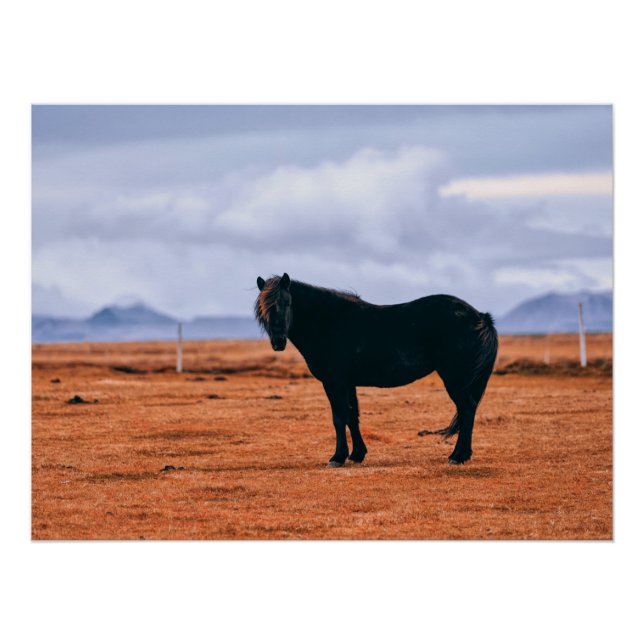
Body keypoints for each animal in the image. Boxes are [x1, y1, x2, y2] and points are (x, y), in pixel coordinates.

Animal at [254, 273, 498, 466]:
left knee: (467, 409)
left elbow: (339, 417)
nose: (278, 342)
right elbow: (352, 416)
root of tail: (480, 317)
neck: (330, 323)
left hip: (455, 379)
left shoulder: (334, 382)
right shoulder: (347, 382)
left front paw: (337, 457)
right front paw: (357, 454)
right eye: (263, 310)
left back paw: (458, 456)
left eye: (286, 303)